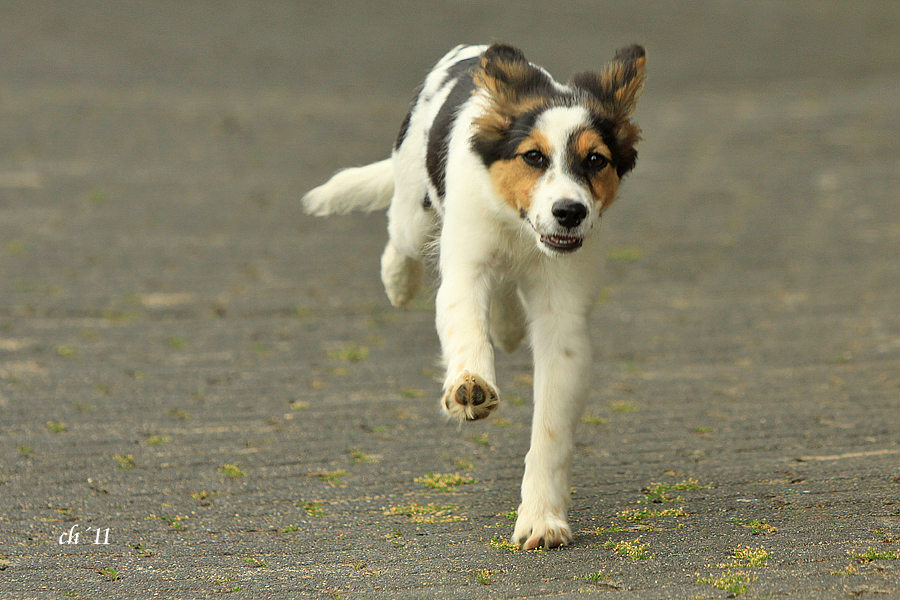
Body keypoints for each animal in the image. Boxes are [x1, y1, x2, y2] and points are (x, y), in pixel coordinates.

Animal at [304, 41, 648, 548]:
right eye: (532, 157)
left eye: (596, 160)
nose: (569, 212)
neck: (520, 229)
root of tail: (473, 49)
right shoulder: (464, 269)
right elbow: (466, 329)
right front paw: (470, 387)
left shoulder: (564, 315)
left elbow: (551, 428)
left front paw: (541, 519)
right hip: (415, 210)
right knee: (399, 233)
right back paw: (398, 281)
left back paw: (506, 326)